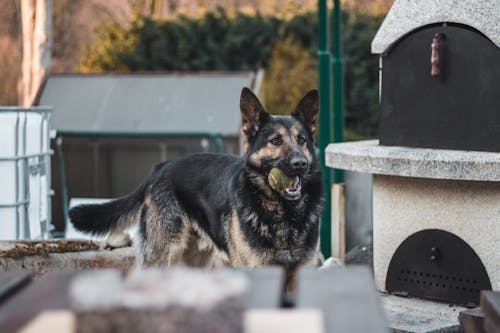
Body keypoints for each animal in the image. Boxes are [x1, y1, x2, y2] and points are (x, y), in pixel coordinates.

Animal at [70, 87, 324, 284]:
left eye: (302, 140)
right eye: (276, 141)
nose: (300, 164)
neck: (285, 215)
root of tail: (161, 167)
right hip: (161, 255)